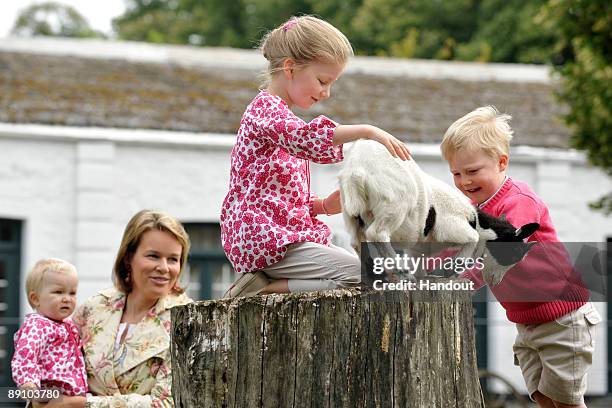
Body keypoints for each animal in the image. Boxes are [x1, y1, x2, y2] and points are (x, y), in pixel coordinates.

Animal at [340, 139, 540, 284]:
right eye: (514, 252)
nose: (495, 281)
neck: (476, 221)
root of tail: (358, 170)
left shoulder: (418, 248)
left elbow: (420, 263)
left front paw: (427, 275)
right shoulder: (452, 227)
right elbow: (472, 239)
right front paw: (453, 267)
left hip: (352, 214)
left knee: (357, 241)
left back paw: (372, 276)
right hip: (395, 204)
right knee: (376, 233)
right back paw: (402, 272)